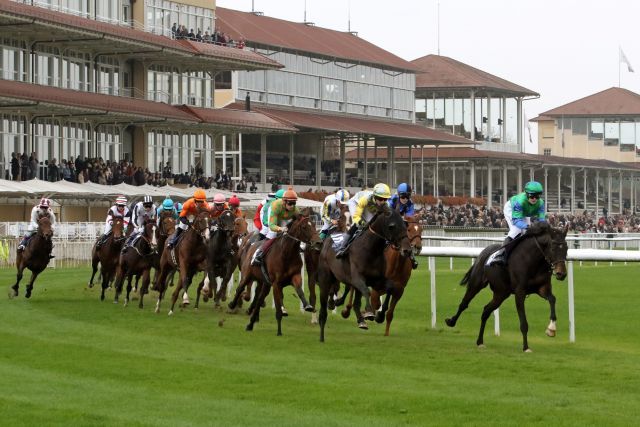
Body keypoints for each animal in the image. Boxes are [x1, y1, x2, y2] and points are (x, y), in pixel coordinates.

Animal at [318, 206, 412, 342]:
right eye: (392, 226)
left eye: (405, 225)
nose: (407, 250)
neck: (370, 250)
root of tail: (328, 239)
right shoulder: (357, 278)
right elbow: (367, 292)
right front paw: (369, 312)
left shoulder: (377, 280)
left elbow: (390, 287)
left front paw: (379, 315)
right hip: (326, 277)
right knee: (327, 299)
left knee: (354, 300)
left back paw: (359, 320)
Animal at [444, 222, 568, 352]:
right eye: (553, 248)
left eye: (566, 248)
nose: (561, 274)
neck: (533, 261)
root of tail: (482, 253)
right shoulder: (520, 292)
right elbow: (524, 323)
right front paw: (526, 347)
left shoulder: (543, 288)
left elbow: (552, 299)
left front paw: (551, 329)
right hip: (476, 284)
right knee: (464, 303)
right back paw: (451, 321)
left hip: (501, 293)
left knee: (486, 311)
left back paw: (480, 341)